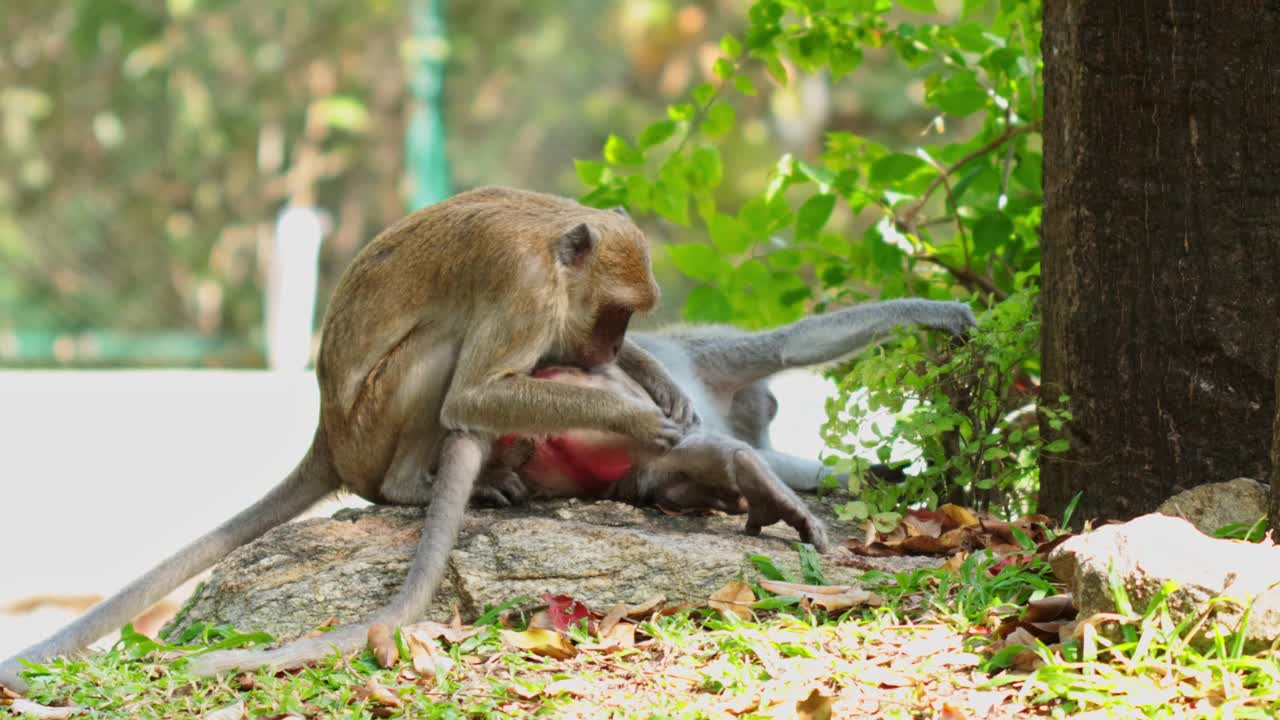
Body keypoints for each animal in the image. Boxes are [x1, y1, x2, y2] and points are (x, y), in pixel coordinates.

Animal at [0, 184, 701, 691]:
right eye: (615, 312)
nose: (610, 346)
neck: (553, 245)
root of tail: (329, 438)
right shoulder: (525, 292)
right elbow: (472, 395)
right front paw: (633, 417)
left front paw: (660, 383)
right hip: (371, 424)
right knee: (441, 349)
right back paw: (410, 489)